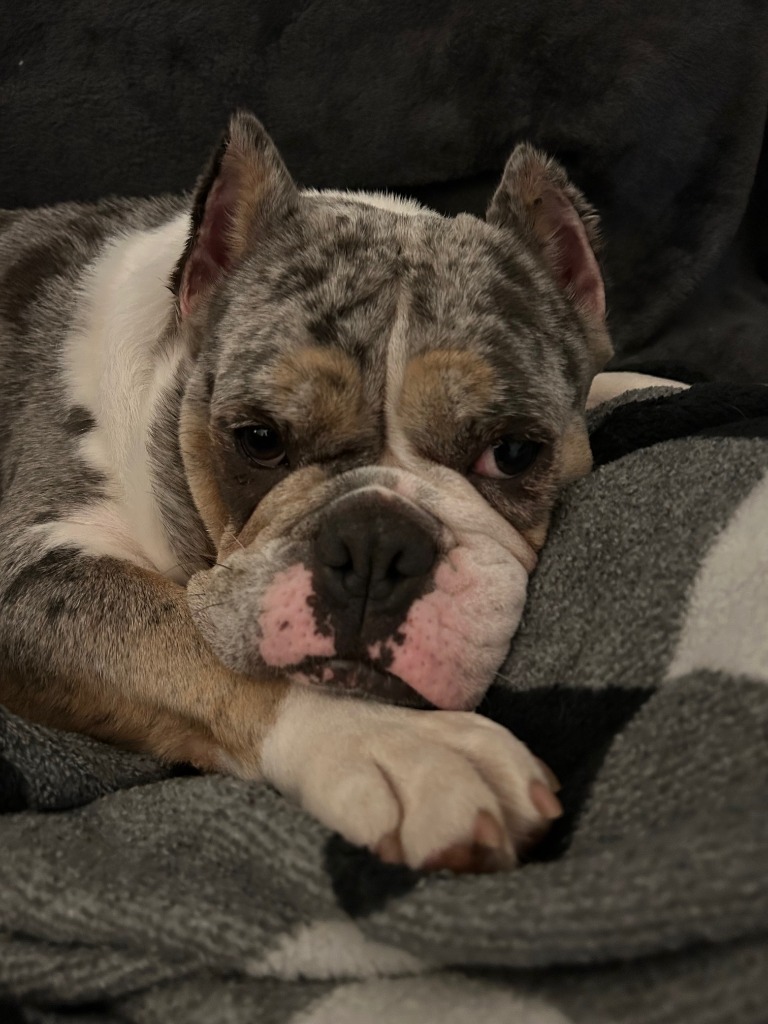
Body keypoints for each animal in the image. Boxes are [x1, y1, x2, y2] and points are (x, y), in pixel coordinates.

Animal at [0, 112, 616, 872]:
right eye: (259, 438)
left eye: (513, 452)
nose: (376, 541)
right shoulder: (31, 574)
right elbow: (201, 644)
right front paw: (401, 744)